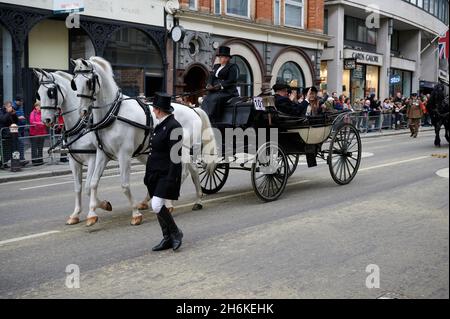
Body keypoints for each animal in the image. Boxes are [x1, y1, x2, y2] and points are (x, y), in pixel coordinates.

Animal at [34, 69, 113, 226]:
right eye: (38, 93)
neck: (81, 125)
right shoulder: (74, 160)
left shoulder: (93, 158)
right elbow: (78, 187)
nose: (46, 120)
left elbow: (88, 187)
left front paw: (98, 207)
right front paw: (75, 214)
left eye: (51, 92)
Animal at [71, 57, 217, 228]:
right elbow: (93, 183)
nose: (82, 112)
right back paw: (195, 200)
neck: (114, 114)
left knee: (185, 172)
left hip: (184, 151)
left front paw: (135, 213)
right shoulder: (102, 154)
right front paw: (93, 214)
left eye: (89, 82)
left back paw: (174, 201)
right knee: (192, 170)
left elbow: (125, 185)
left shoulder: (124, 155)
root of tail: (193, 109)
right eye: (74, 82)